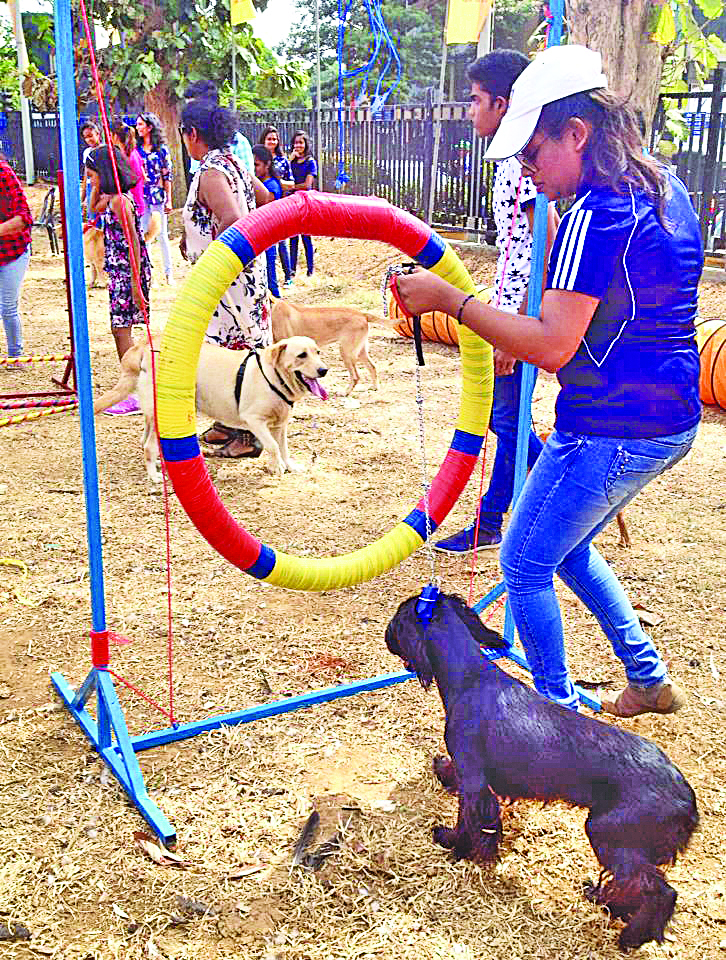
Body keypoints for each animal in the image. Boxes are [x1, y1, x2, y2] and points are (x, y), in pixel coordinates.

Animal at [94, 332, 330, 480]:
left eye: (317, 352)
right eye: (301, 355)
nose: (324, 370)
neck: (274, 376)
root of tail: (144, 346)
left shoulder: (280, 425)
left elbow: (283, 448)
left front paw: (290, 466)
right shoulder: (255, 420)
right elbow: (272, 446)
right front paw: (277, 467)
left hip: (154, 414)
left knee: (145, 439)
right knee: (148, 446)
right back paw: (154, 476)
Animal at [386, 588, 700, 948]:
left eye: (397, 621)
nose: (387, 636)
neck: (470, 678)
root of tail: (687, 798)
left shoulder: (475, 783)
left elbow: (469, 822)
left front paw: (453, 842)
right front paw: (442, 770)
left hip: (608, 833)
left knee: (661, 891)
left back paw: (633, 935)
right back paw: (606, 901)